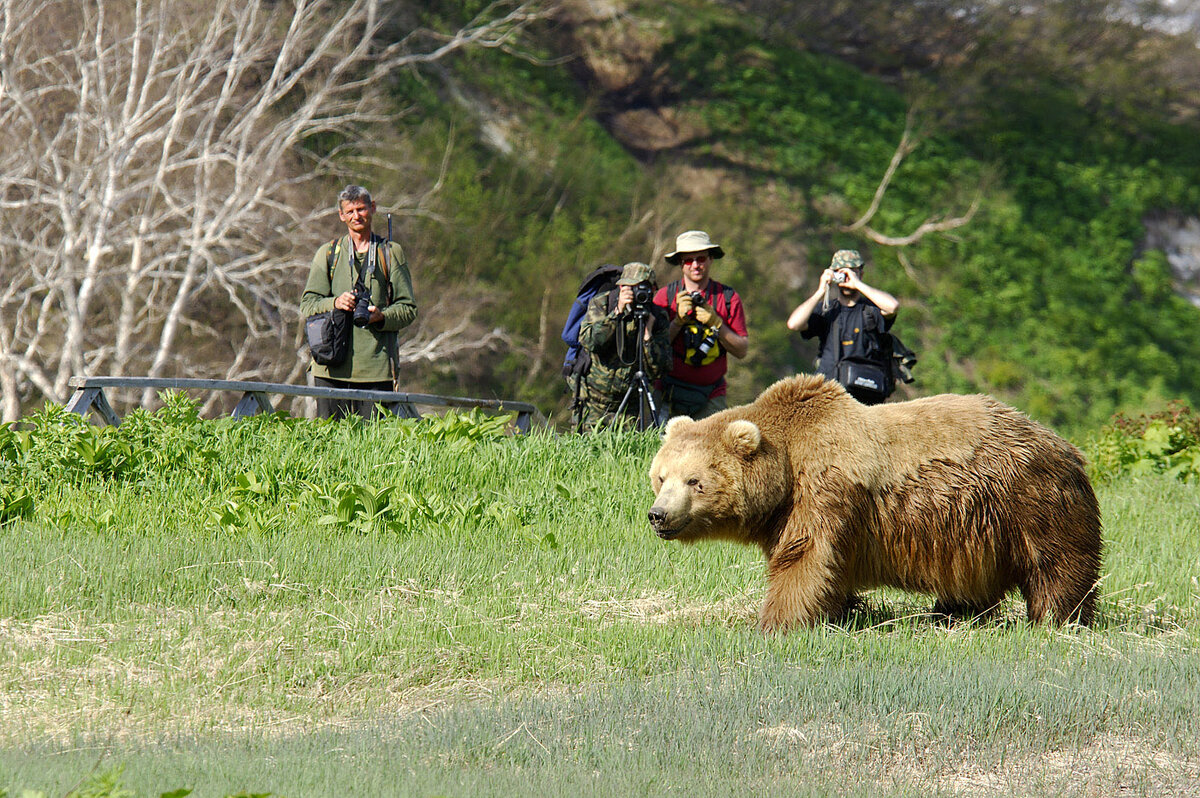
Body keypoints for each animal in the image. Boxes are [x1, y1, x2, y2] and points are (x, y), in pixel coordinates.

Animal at [652, 374, 1099, 628]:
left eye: (695, 481)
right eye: (660, 477)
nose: (658, 514)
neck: (786, 467)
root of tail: (1066, 445)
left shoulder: (825, 488)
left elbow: (805, 556)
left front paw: (777, 622)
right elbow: (827, 568)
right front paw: (842, 611)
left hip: (1030, 499)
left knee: (1057, 565)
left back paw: (1056, 620)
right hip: (976, 528)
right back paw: (953, 614)